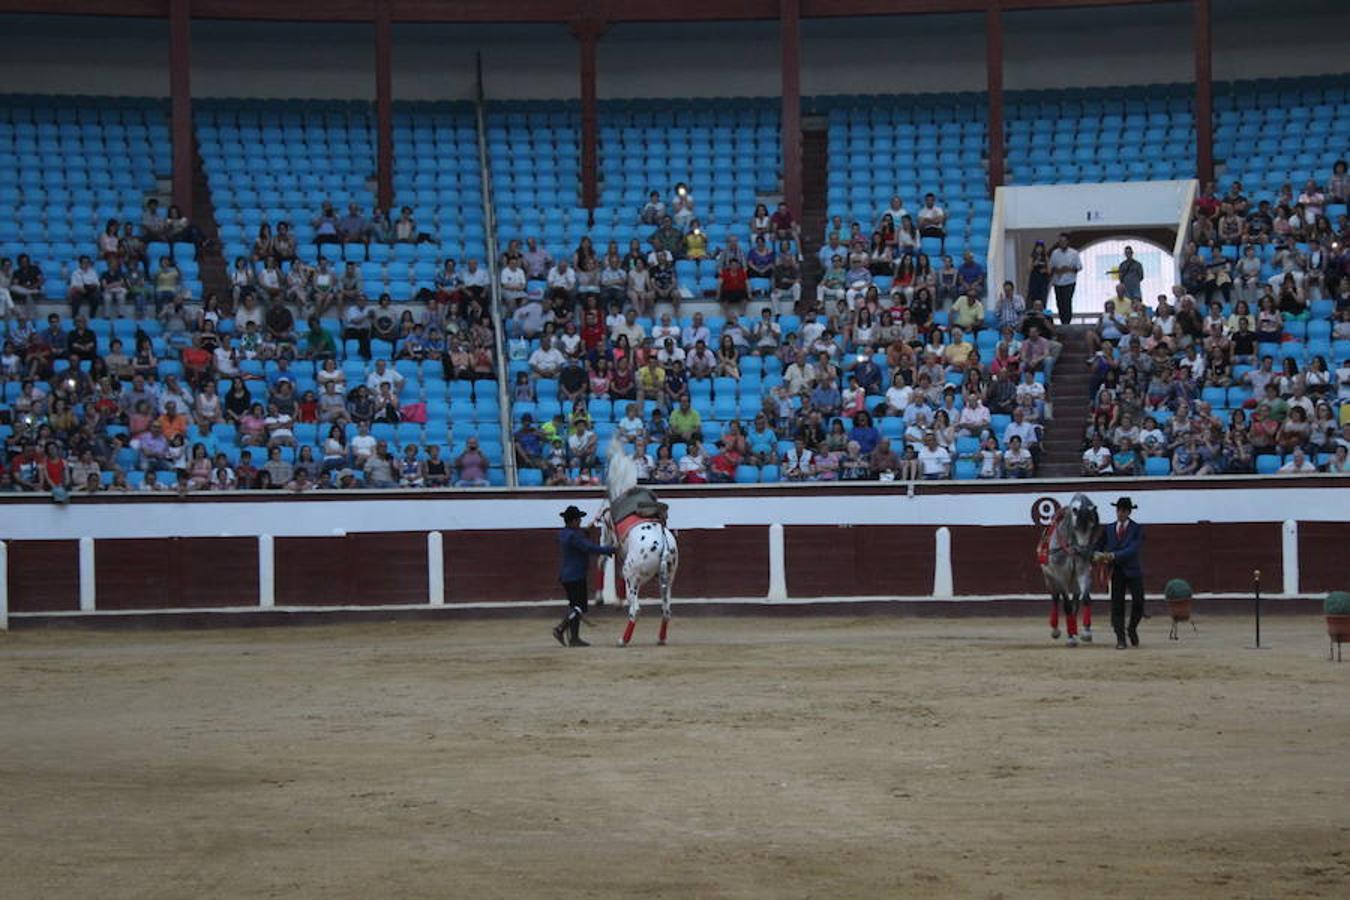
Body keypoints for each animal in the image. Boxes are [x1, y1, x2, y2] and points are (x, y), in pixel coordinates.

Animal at [599, 437, 680, 646]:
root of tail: (663, 547)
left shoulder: (607, 535)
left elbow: (603, 558)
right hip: (668, 579)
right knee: (666, 610)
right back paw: (661, 638)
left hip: (633, 577)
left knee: (635, 608)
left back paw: (623, 639)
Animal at [1038, 493, 1100, 647]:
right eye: (1076, 527)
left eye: (1092, 526)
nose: (1084, 553)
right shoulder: (1060, 576)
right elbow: (1065, 603)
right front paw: (1070, 638)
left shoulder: (1084, 572)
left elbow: (1086, 598)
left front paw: (1086, 633)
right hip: (1050, 579)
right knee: (1055, 598)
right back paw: (1056, 630)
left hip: (1074, 582)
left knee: (1075, 602)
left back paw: (1075, 630)